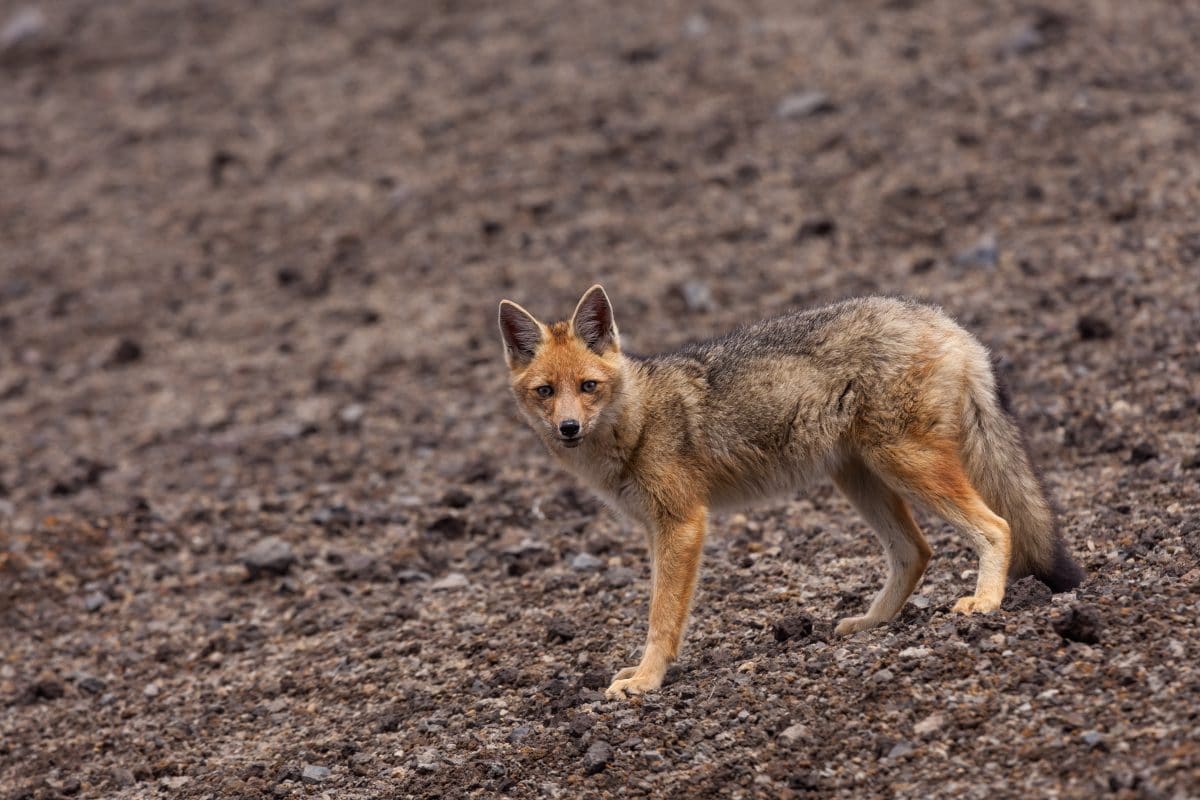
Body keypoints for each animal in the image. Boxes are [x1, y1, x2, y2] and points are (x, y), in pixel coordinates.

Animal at [496, 284, 1089, 695]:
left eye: (588, 386)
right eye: (546, 391)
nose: (568, 428)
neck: (636, 419)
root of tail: (941, 318)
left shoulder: (682, 525)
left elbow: (662, 617)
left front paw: (646, 680)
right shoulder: (656, 528)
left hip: (904, 464)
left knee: (996, 526)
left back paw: (985, 602)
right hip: (862, 479)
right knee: (916, 552)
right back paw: (871, 623)